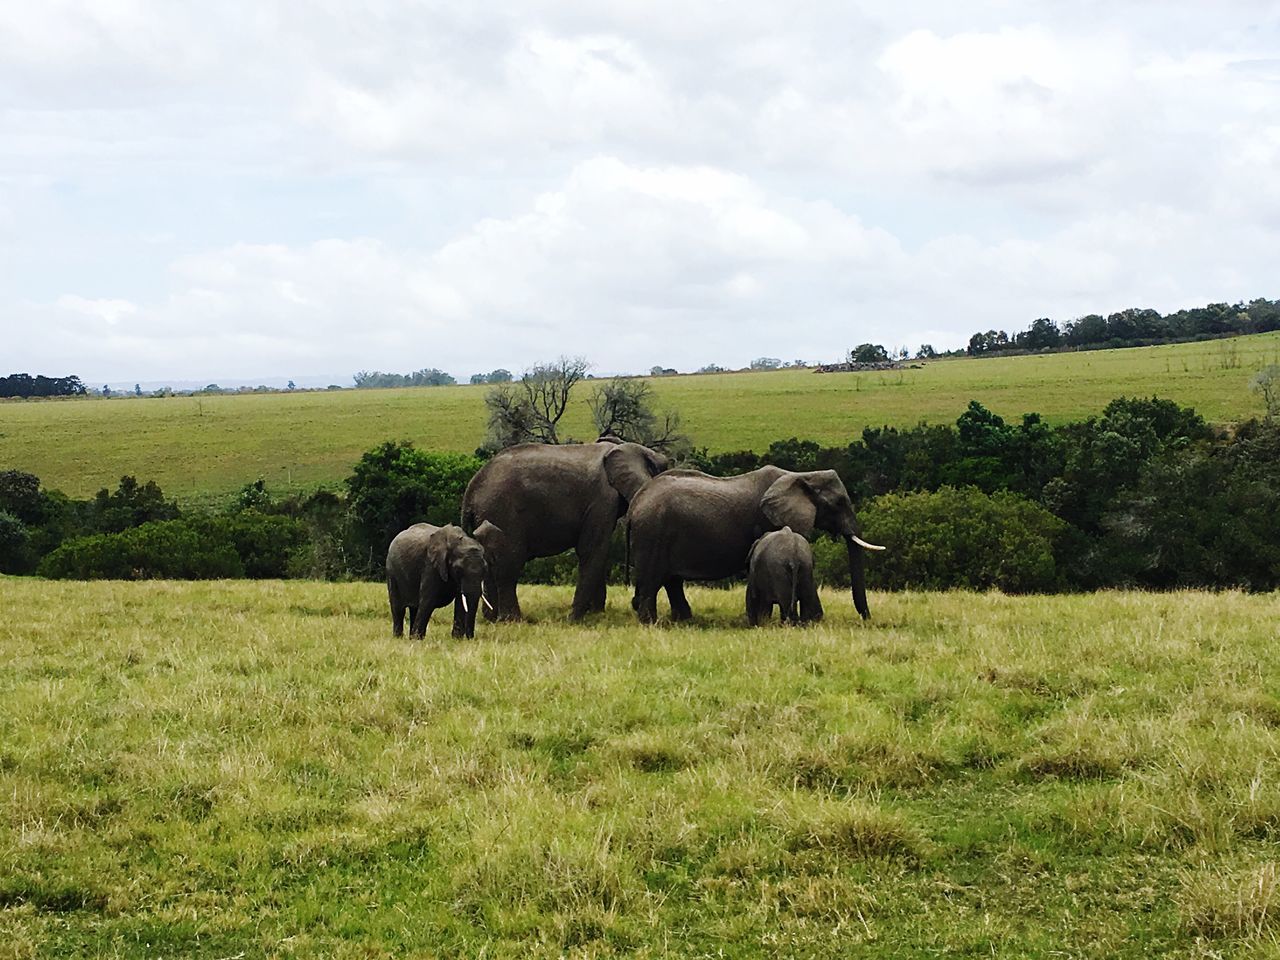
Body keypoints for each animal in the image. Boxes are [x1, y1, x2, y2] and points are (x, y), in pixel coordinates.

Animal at [463, 437, 670, 624]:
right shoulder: (602, 500)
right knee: (508, 565)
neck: (623, 446)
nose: (633, 602)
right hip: (502, 514)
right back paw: (513, 621)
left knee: (491, 563)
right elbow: (593, 550)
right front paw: (576, 620)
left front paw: (596, 614)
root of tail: (471, 490)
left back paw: (491, 619)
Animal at [627, 463, 885, 624]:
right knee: (653, 581)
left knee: (671, 581)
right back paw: (651, 623)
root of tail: (636, 502)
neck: (801, 475)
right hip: (652, 534)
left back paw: (683, 619)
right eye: (839, 503)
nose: (866, 618)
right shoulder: (768, 520)